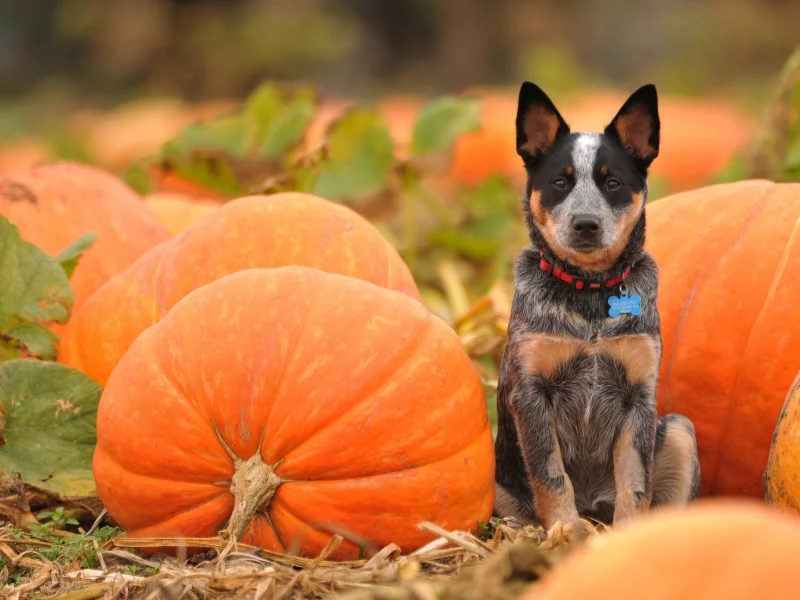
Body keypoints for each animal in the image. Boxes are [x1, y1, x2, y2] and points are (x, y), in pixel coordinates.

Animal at [494, 81, 700, 528]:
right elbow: (551, 475)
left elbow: (635, 483)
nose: (585, 224)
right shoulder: (532, 394)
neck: (589, 290)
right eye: (559, 182)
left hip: (678, 430)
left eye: (612, 183)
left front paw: (627, 533)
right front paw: (566, 531)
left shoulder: (638, 397)